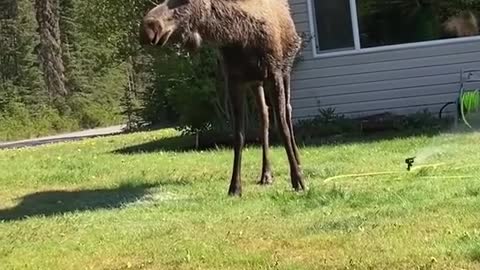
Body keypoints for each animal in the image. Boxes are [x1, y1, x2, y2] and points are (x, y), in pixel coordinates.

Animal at [140, 0, 308, 196]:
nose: (147, 28)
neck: (239, 36)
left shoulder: (274, 72)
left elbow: (282, 127)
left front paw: (298, 180)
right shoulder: (234, 79)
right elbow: (238, 135)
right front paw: (235, 186)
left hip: (285, 69)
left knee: (287, 112)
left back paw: (298, 161)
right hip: (256, 82)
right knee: (264, 116)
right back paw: (266, 173)